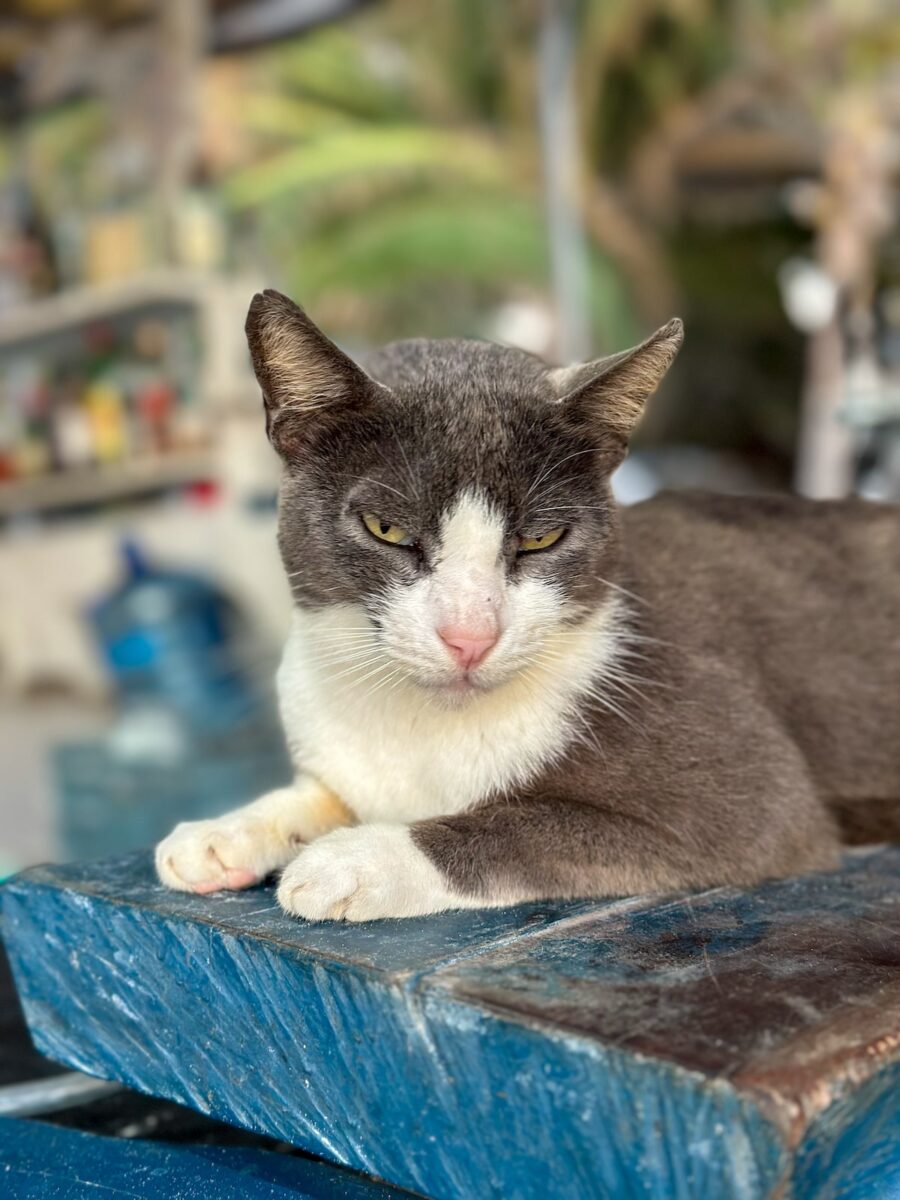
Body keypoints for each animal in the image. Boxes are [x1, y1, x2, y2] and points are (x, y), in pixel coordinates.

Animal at [154, 290, 900, 916]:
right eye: (386, 529)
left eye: (542, 538)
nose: (470, 637)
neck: (422, 725)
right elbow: (325, 790)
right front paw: (227, 831)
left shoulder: (746, 797)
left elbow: (523, 824)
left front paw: (354, 862)